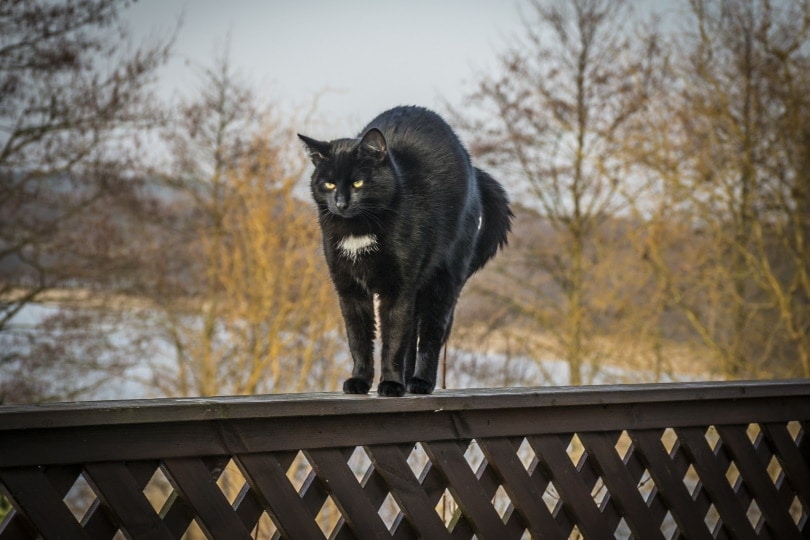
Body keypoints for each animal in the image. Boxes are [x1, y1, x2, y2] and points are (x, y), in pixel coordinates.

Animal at [296, 106, 512, 396]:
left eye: (357, 183)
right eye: (329, 184)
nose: (340, 203)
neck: (358, 230)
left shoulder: (399, 288)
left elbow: (394, 339)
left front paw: (390, 383)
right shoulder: (349, 289)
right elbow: (358, 337)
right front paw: (360, 381)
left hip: (443, 279)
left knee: (431, 332)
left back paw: (420, 382)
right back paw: (407, 381)